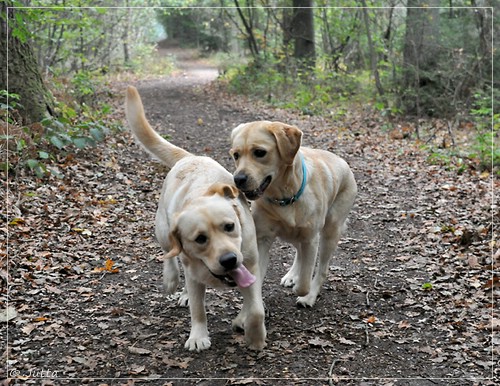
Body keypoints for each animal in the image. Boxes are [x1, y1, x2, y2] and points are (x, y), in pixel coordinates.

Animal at [126, 86, 266, 352]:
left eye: (230, 226)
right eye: (200, 239)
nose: (230, 260)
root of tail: (190, 156)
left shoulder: (251, 266)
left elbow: (256, 310)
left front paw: (255, 336)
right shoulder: (193, 272)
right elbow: (198, 309)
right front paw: (198, 336)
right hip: (163, 228)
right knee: (170, 254)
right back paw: (172, 280)